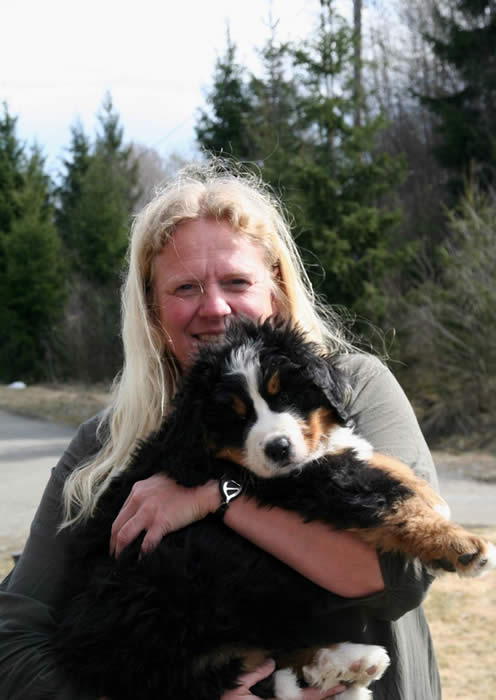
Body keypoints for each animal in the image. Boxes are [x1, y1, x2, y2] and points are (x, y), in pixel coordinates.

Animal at [52, 316, 494, 700]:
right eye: (235, 417)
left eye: (285, 394)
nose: (278, 448)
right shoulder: (299, 484)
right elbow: (380, 495)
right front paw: (461, 544)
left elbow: (366, 456)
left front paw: (424, 489)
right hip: (182, 576)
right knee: (233, 670)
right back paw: (345, 662)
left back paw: (345, 664)